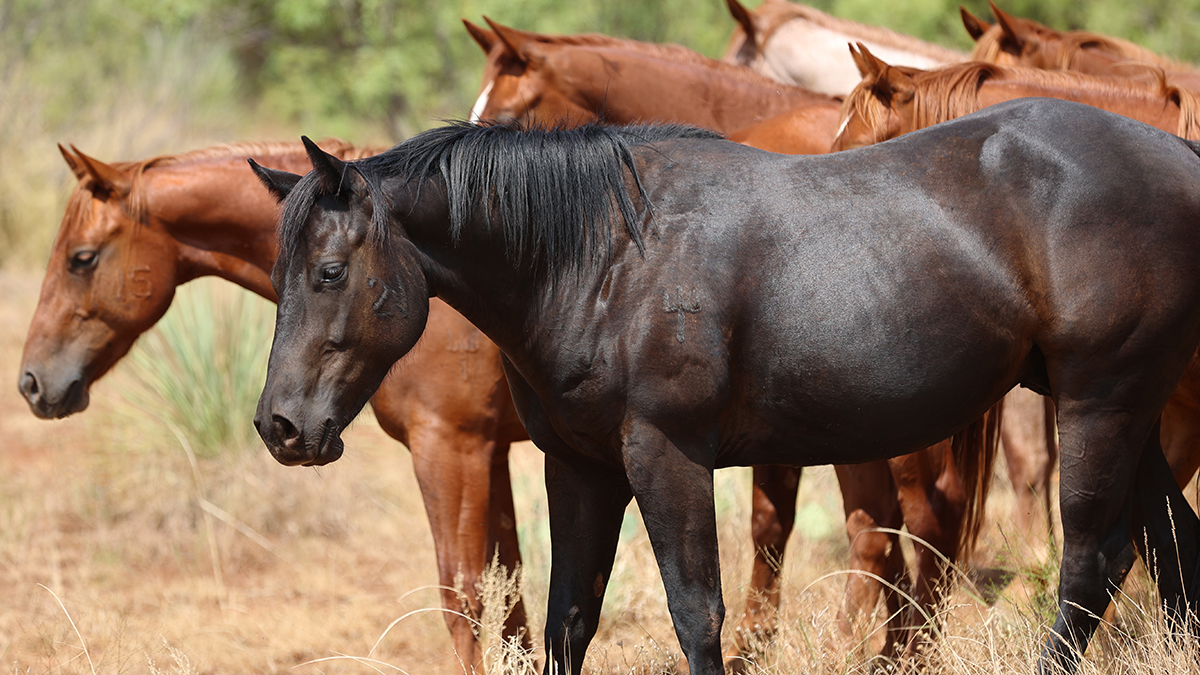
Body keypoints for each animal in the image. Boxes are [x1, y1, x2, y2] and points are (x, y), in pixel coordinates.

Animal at [19, 141, 532, 672]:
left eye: (82, 258)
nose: (31, 381)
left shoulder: (450, 447)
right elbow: (513, 601)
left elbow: (464, 598)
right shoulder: (490, 452)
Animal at [253, 98, 1200, 674]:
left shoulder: (666, 455)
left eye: (329, 271)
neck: (604, 257)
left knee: (1090, 561)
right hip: (1125, 410)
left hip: (1100, 401)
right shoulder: (581, 465)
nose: (281, 427)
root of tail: (1176, 155)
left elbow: (697, 611)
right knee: (1162, 551)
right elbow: (569, 617)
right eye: (281, 273)